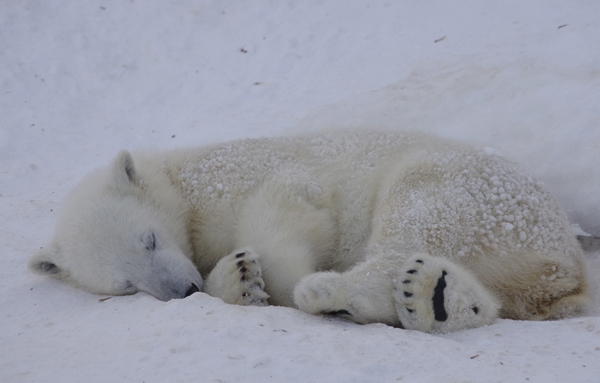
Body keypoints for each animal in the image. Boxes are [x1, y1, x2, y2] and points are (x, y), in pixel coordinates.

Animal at [28, 131, 584, 332]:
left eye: (149, 239)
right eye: (125, 285)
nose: (182, 290)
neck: (186, 183)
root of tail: (566, 266)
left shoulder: (246, 176)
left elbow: (287, 208)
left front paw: (270, 280)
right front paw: (238, 277)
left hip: (463, 187)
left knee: (412, 221)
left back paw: (338, 291)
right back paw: (440, 300)